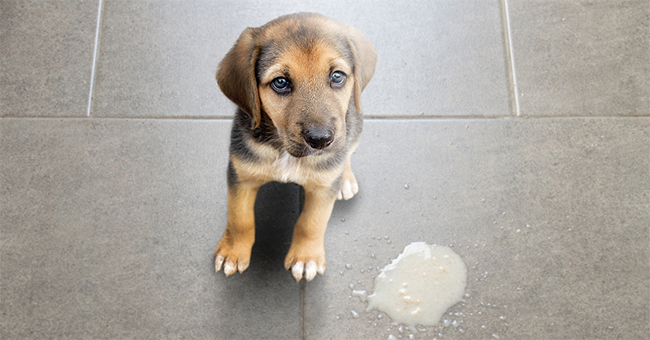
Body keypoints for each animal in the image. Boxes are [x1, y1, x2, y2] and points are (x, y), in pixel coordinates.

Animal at [214, 11, 374, 280]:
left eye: (337, 76)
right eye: (280, 82)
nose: (320, 140)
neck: (284, 150)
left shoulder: (323, 189)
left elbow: (312, 223)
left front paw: (306, 257)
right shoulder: (240, 174)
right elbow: (239, 218)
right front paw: (233, 251)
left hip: (355, 127)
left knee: (347, 152)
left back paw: (345, 179)